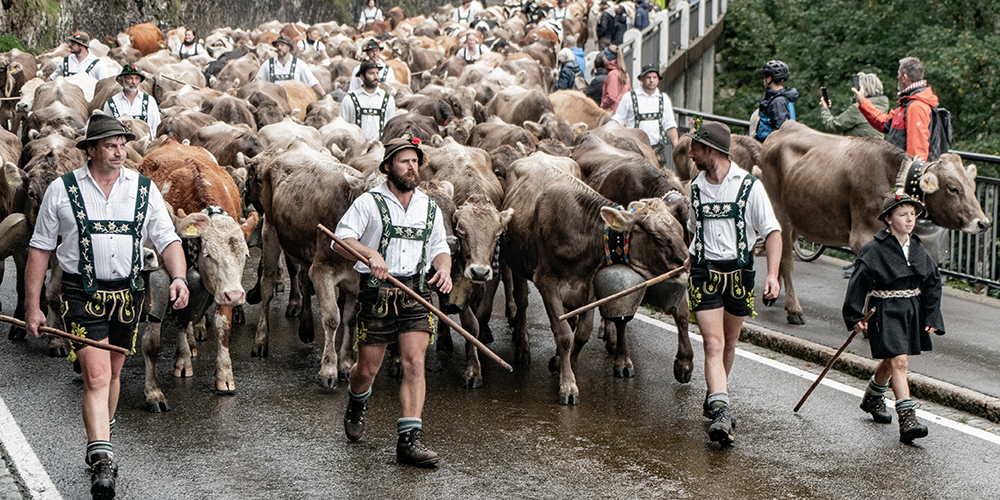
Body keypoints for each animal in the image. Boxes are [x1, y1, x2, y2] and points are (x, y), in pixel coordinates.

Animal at [141, 138, 260, 410]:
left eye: (245, 256)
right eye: (209, 255)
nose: (236, 296)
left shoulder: (223, 288)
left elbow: (223, 326)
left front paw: (225, 376)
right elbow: (180, 320)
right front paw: (183, 361)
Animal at [500, 154, 688, 404]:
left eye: (680, 230)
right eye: (658, 238)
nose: (687, 263)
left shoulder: (588, 286)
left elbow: (582, 333)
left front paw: (561, 364)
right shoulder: (547, 283)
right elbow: (564, 335)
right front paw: (568, 385)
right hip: (517, 264)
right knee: (521, 301)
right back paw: (522, 346)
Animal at [760, 121, 988, 324]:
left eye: (972, 186)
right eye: (953, 188)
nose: (984, 223)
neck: (891, 177)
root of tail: (782, 129)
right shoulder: (862, 236)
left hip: (797, 215)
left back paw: (772, 294)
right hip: (778, 211)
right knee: (786, 257)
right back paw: (794, 309)